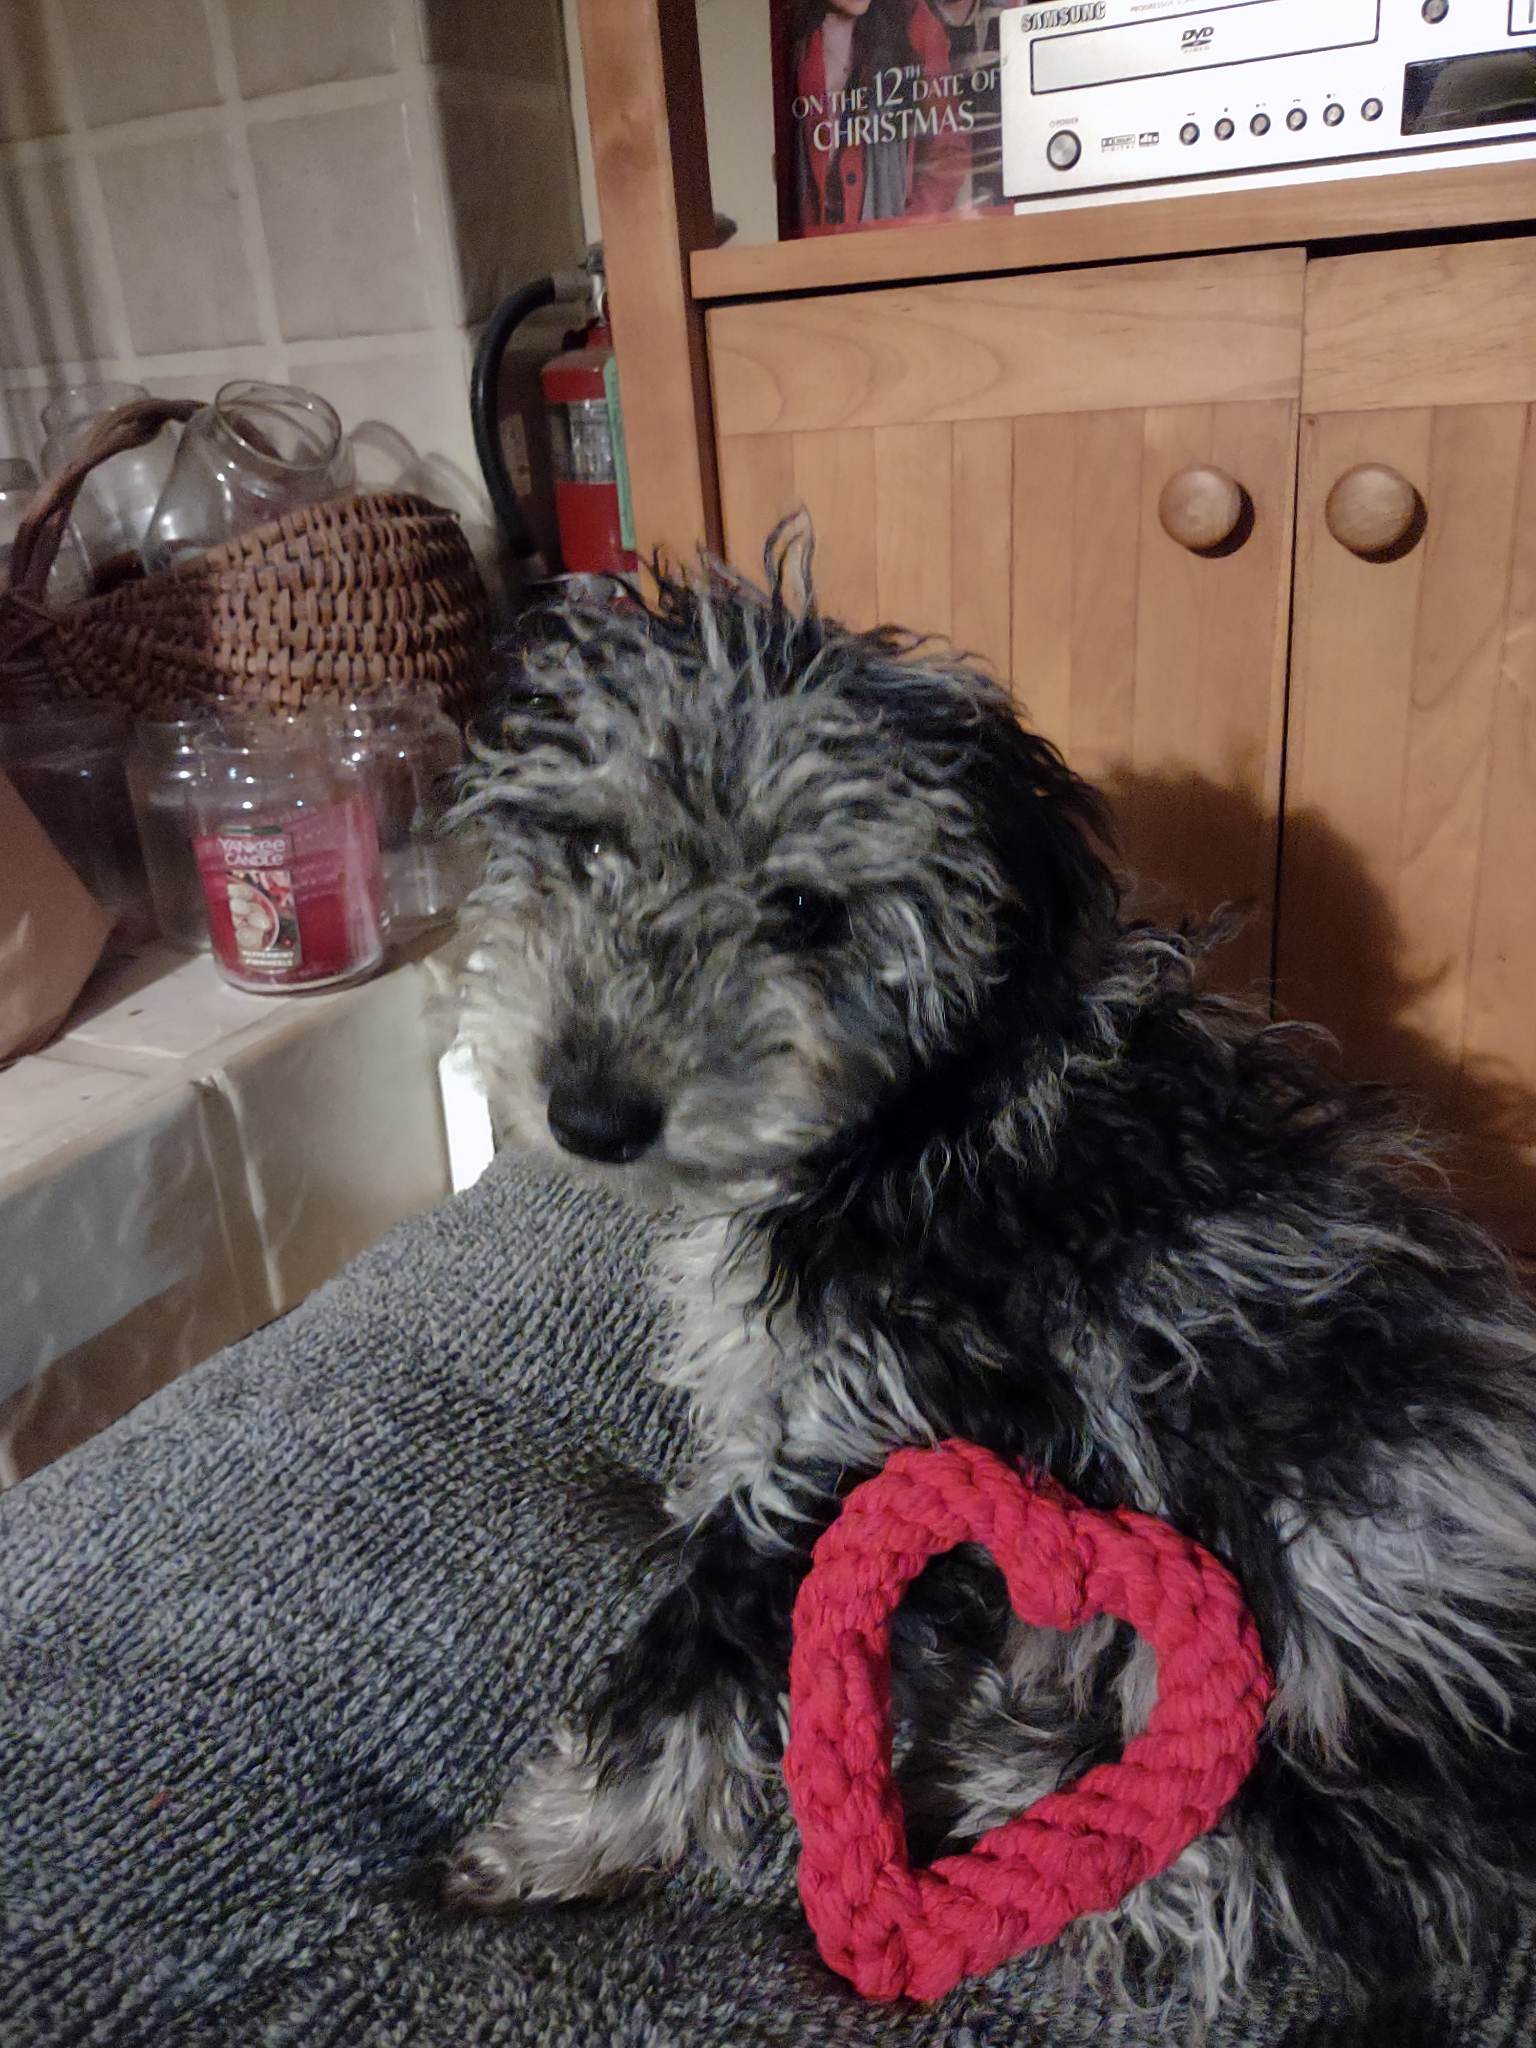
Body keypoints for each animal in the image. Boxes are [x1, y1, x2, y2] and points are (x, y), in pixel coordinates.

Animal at [442, 536, 1536, 2023]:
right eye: (591, 841)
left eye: (808, 910)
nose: (590, 1112)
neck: (927, 1115)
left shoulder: (873, 1437)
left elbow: (702, 1658)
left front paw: (558, 1841)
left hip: (1312, 1610)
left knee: (1293, 1867)